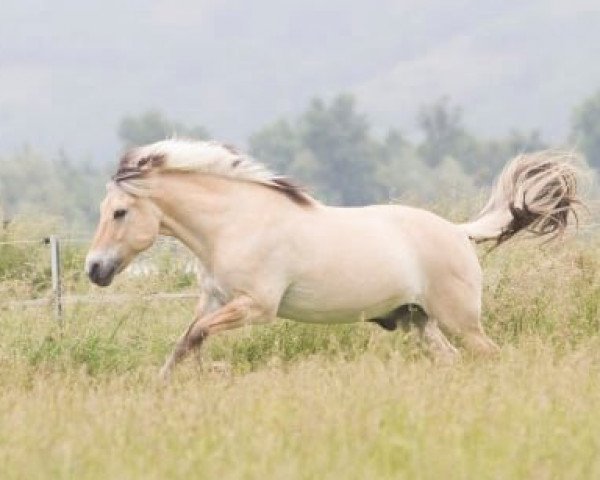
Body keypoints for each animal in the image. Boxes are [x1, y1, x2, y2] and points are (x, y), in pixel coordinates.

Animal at [84, 139, 580, 378]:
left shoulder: (256, 307)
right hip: (419, 321)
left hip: (460, 321)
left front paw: (214, 372)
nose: (94, 269)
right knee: (453, 360)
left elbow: (196, 337)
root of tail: (459, 231)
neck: (236, 223)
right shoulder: (214, 300)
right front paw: (170, 384)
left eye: (119, 212)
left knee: (490, 355)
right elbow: (187, 341)